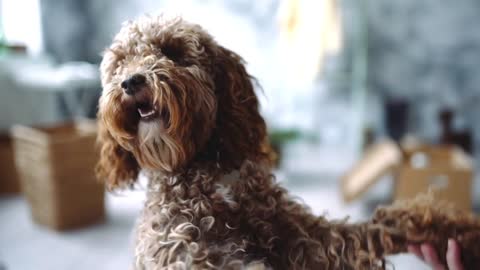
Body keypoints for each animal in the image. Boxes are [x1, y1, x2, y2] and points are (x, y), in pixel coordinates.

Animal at [96, 15, 480, 268]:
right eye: (120, 64)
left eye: (172, 51)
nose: (130, 82)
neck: (207, 173)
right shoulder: (187, 253)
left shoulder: (308, 240)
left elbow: (384, 223)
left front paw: (457, 230)